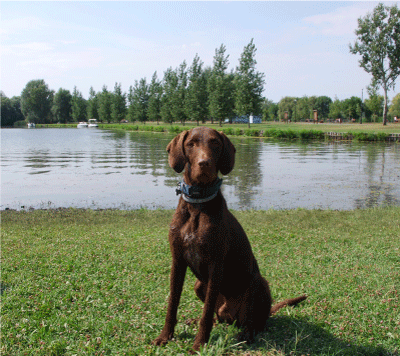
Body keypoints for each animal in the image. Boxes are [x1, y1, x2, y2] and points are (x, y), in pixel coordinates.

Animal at [152, 127, 306, 350]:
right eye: (191, 144)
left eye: (215, 143)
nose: (204, 163)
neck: (198, 204)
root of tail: (230, 314)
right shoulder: (178, 261)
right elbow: (173, 304)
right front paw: (165, 336)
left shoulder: (216, 264)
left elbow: (206, 313)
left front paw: (199, 344)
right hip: (200, 286)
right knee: (218, 316)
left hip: (258, 285)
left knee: (254, 323)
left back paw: (246, 335)